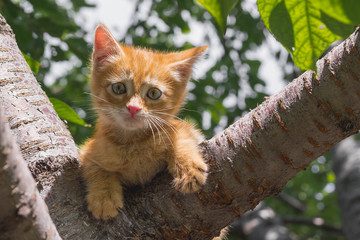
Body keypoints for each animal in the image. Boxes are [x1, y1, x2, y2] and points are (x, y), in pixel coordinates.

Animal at [79, 23, 208, 219]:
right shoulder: (88, 150)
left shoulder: (184, 129)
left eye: (153, 93)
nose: (133, 108)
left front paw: (188, 168)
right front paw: (103, 196)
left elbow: (181, 135)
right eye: (119, 88)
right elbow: (95, 167)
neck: (134, 143)